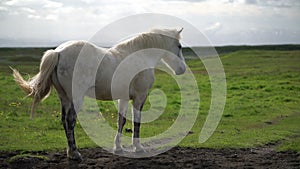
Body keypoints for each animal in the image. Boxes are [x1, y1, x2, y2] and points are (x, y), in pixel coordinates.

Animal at [12, 28, 185, 160]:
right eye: (179, 46)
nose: (182, 69)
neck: (140, 56)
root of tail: (58, 52)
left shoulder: (123, 98)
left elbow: (121, 121)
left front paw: (118, 147)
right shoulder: (139, 97)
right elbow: (137, 121)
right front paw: (138, 148)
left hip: (64, 98)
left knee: (64, 120)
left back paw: (70, 152)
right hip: (76, 98)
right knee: (70, 120)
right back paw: (75, 153)